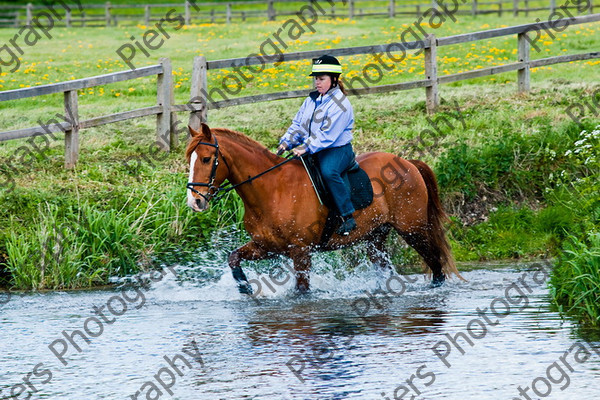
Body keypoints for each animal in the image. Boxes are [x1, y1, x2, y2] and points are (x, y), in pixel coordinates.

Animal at [185, 123, 462, 292]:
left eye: (207, 159)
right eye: (190, 159)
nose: (195, 202)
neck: (271, 190)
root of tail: (408, 162)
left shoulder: (300, 252)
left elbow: (301, 292)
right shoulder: (266, 247)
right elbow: (233, 257)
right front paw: (245, 286)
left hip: (413, 229)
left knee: (436, 264)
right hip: (375, 238)